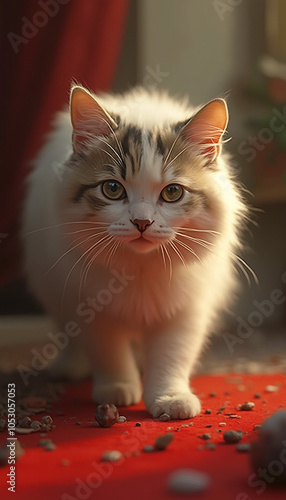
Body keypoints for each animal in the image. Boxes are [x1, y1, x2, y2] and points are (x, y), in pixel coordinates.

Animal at [21, 85, 246, 418]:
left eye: (173, 192)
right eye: (112, 189)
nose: (142, 222)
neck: (139, 269)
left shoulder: (185, 310)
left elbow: (171, 359)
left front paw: (170, 399)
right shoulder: (91, 307)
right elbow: (109, 354)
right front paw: (117, 389)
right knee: (70, 338)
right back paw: (69, 367)